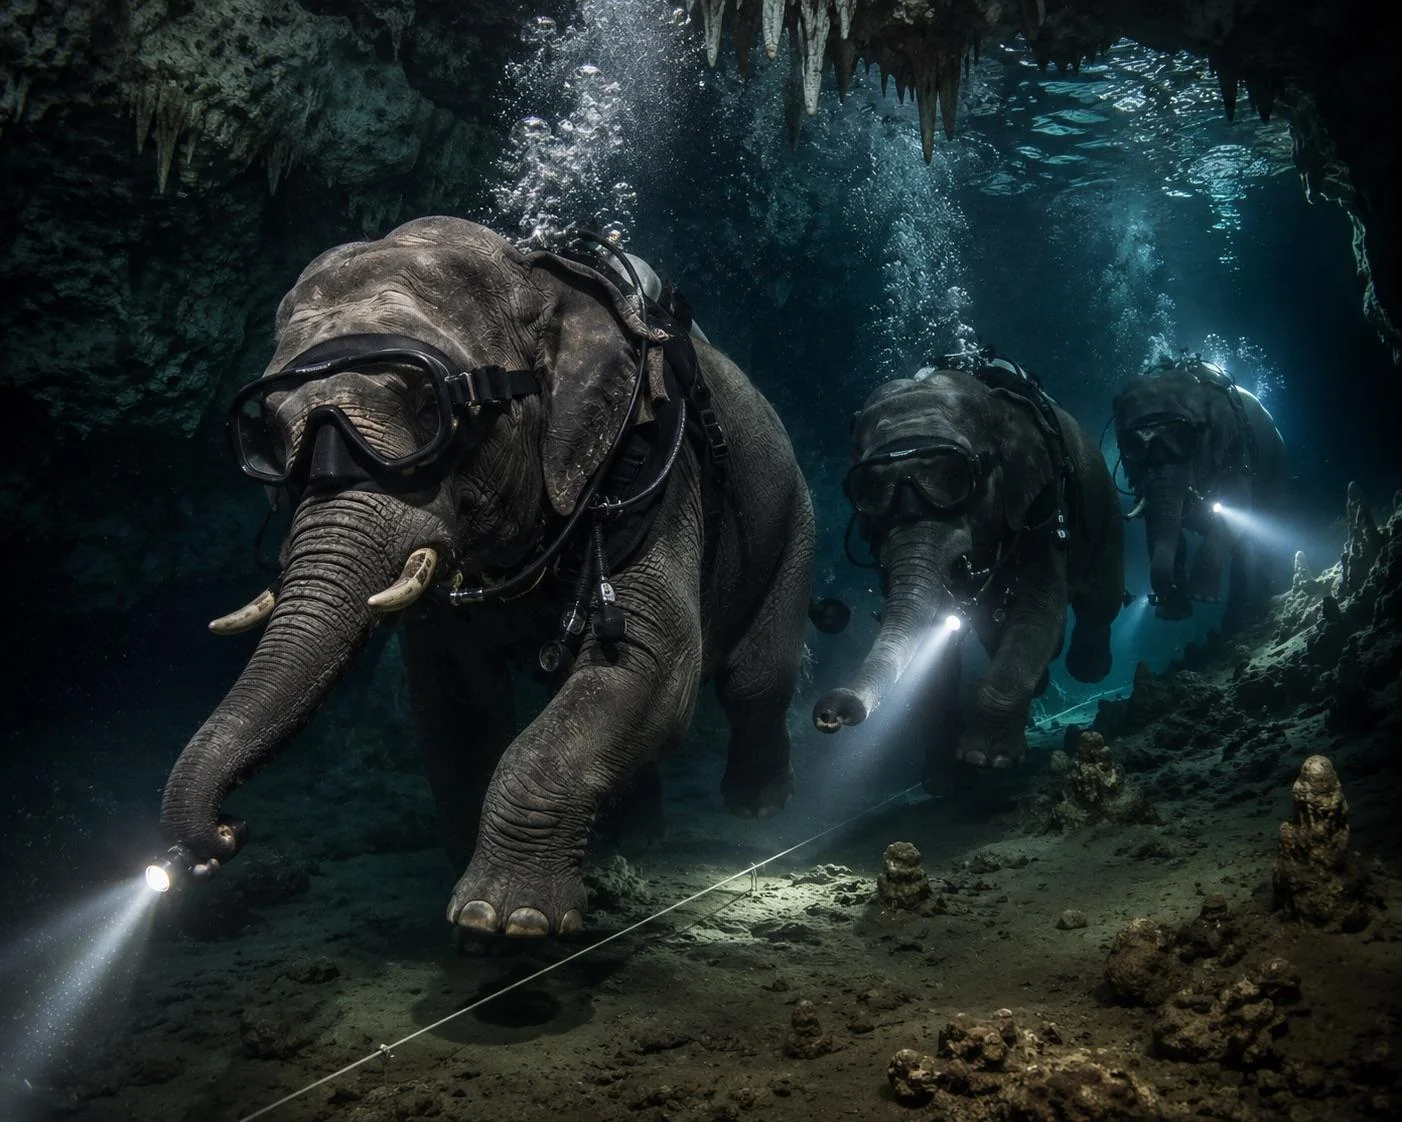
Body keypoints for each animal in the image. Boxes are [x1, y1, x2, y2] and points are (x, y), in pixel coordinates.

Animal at [157, 216, 816, 937]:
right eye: (268, 436)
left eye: (427, 404)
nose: (227, 834)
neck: (542, 287)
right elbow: (457, 703)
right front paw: (468, 899)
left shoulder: (653, 478)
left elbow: (652, 661)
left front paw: (503, 919)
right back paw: (637, 839)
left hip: (795, 516)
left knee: (754, 677)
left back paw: (757, 805)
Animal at [812, 354, 1125, 776]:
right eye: (870, 490)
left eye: (952, 475)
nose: (830, 713)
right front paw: (946, 776)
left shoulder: (1042, 502)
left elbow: (1039, 610)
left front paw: (986, 758)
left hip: (1105, 502)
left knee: (1101, 601)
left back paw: (1088, 669)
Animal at [1112, 356, 1287, 624]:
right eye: (1130, 444)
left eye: (1185, 435)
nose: (1158, 599)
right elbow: (1156, 523)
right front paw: (1174, 612)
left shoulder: (1237, 446)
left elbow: (1237, 503)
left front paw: (1201, 598)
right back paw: (1237, 618)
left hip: (1278, 465)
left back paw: (1268, 601)